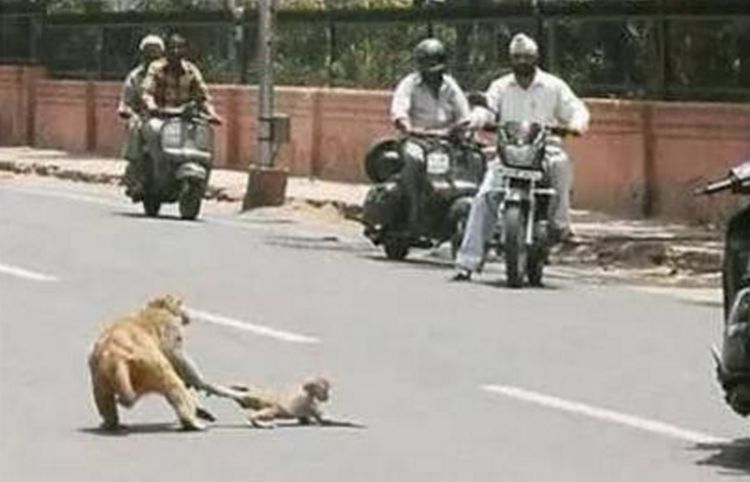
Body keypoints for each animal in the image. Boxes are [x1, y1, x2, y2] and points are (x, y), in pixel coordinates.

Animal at [88, 296, 241, 432]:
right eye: (182, 304)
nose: (188, 315)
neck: (157, 307)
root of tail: (115, 356)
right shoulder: (171, 327)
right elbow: (178, 358)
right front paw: (200, 385)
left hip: (101, 373)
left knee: (103, 396)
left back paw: (111, 423)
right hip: (148, 365)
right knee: (172, 383)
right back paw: (191, 422)